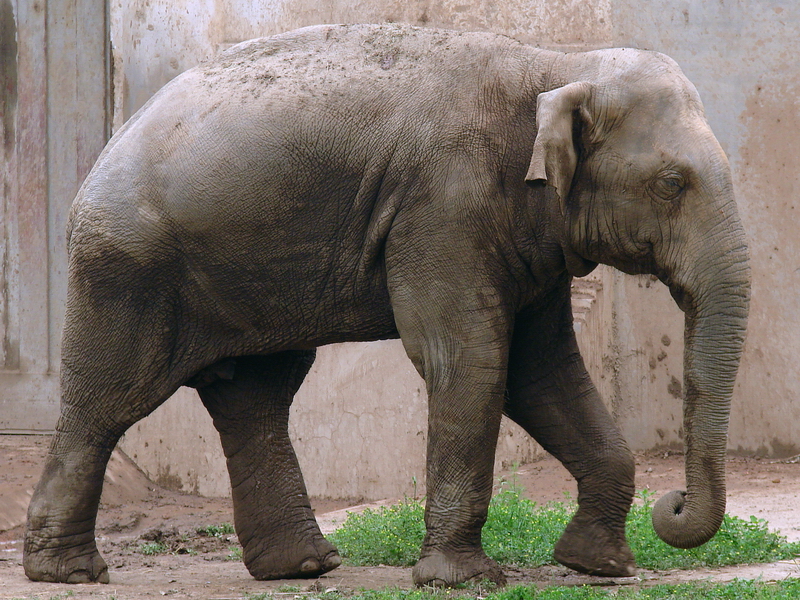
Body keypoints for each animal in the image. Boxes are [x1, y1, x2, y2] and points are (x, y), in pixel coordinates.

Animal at [24, 23, 750, 587]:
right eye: (671, 184)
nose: (672, 502)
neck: (557, 65)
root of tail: (113, 140)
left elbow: (542, 374)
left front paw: (598, 567)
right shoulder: (443, 205)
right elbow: (472, 362)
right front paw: (463, 580)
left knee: (258, 395)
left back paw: (303, 568)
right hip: (128, 268)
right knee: (109, 402)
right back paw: (69, 573)